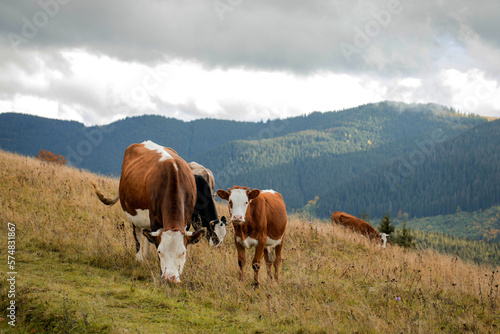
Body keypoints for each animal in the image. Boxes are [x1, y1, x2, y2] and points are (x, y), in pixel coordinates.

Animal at [92, 140, 203, 284]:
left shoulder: (186, 221)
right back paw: (140, 258)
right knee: (139, 235)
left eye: (183, 252)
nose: (170, 278)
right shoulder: (155, 220)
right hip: (134, 215)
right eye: (160, 252)